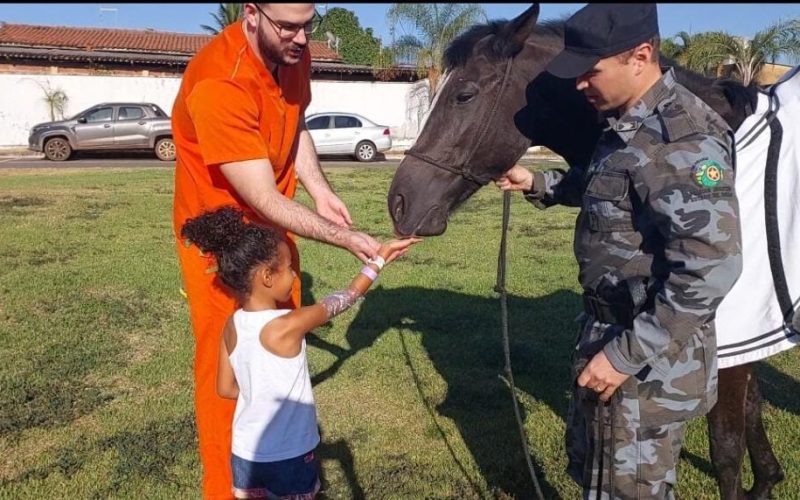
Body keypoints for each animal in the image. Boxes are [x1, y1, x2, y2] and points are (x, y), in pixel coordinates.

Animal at [388, 3, 788, 500]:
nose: (399, 203)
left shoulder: (728, 338)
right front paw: (768, 479)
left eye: (464, 95)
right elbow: (752, 414)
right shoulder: (741, 343)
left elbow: (727, 446)